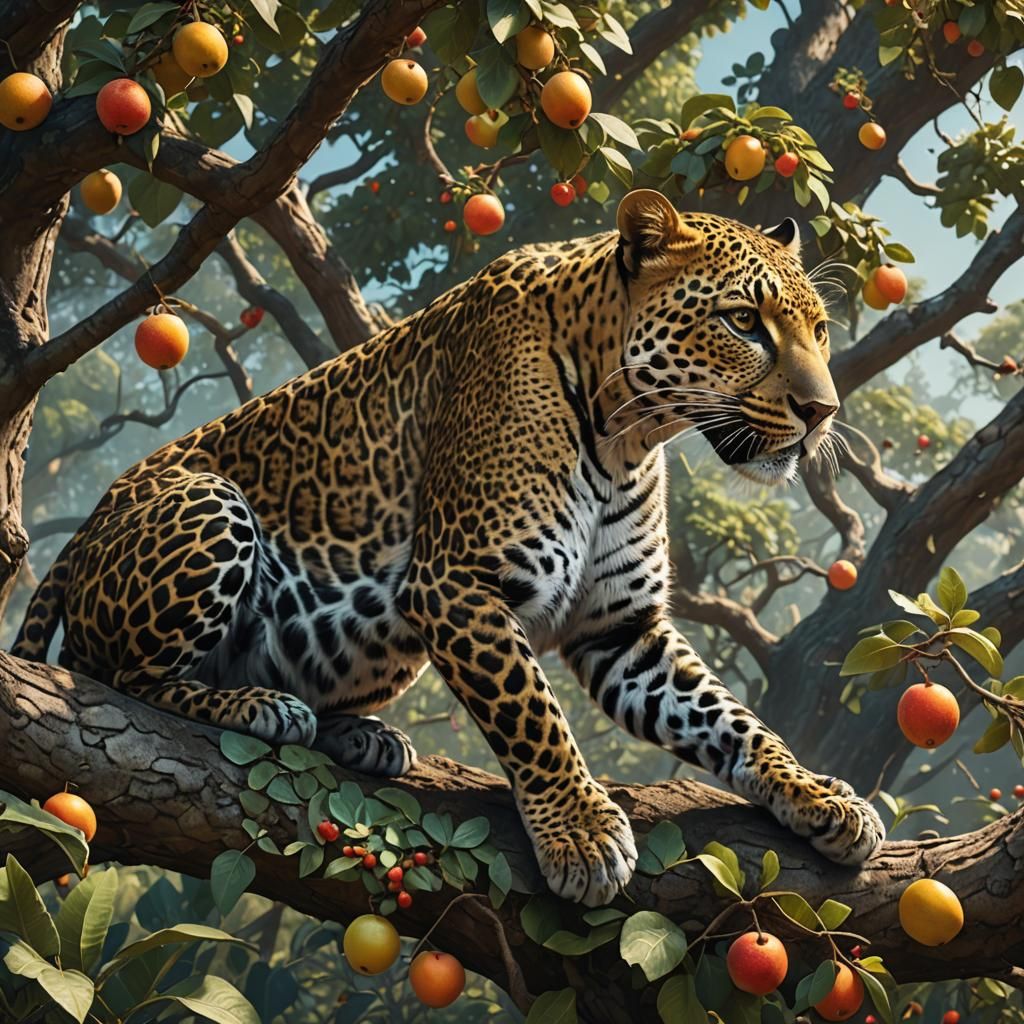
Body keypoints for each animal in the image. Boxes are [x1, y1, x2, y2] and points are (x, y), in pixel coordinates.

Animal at [14, 189, 884, 906]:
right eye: (743, 322)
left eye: (819, 331)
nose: (824, 412)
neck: (629, 434)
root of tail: (90, 520)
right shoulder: (456, 584)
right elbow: (533, 714)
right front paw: (581, 834)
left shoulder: (621, 631)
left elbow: (732, 719)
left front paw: (818, 794)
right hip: (211, 502)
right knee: (115, 674)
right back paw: (257, 706)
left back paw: (362, 736)